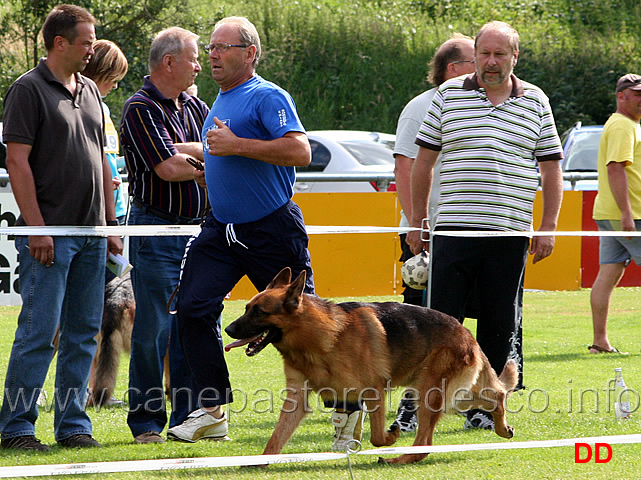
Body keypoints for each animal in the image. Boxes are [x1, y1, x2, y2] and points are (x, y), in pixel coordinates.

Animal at [224, 268, 516, 464]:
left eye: (259, 312)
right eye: (247, 308)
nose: (228, 330)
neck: (318, 338)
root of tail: (466, 333)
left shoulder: (373, 390)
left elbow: (376, 436)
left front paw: (390, 438)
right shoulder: (298, 398)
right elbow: (276, 436)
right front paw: (259, 461)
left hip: (430, 394)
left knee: (426, 443)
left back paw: (397, 459)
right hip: (450, 394)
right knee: (496, 395)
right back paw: (502, 428)